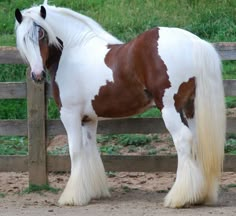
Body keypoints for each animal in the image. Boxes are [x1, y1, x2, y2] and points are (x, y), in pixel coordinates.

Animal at [14, 0, 225, 208]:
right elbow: (89, 149)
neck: (73, 51)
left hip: (171, 109)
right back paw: (199, 195)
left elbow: (75, 151)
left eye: (42, 35)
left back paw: (179, 198)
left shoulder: (69, 115)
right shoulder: (88, 118)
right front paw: (93, 192)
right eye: (24, 39)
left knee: (183, 140)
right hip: (191, 110)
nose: (37, 75)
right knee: (196, 142)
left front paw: (72, 197)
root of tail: (195, 42)